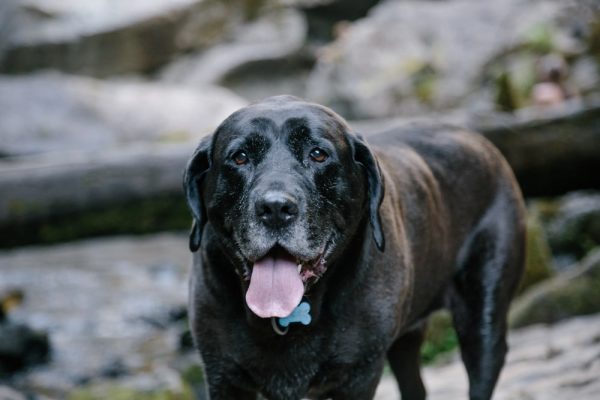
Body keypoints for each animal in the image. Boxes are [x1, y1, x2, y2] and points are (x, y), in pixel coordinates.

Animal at [184, 95, 524, 398]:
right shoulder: (223, 375)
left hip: (483, 318)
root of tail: (477, 138)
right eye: (240, 157)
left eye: (318, 154)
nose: (276, 208)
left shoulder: (357, 375)